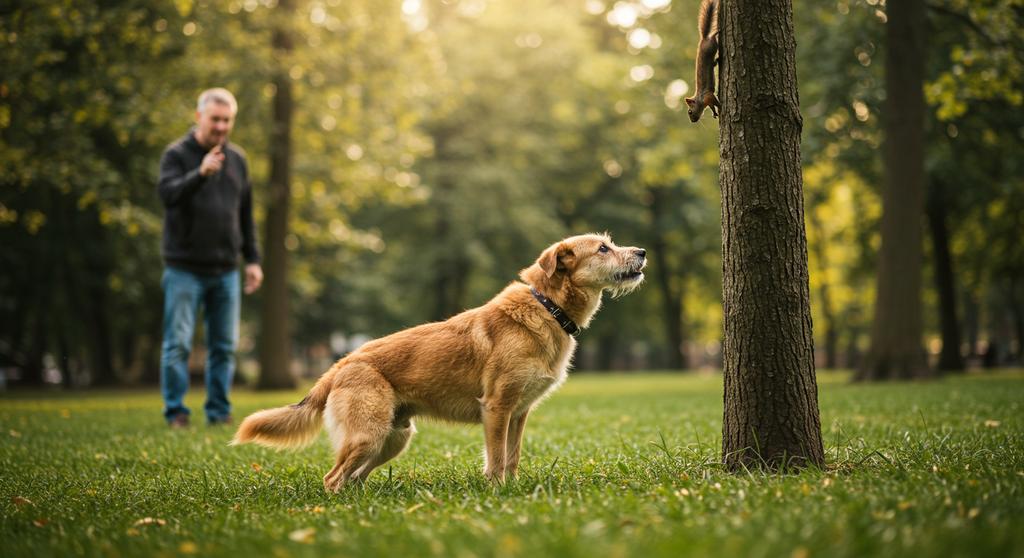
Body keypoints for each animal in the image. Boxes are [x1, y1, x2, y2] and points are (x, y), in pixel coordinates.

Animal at [235, 232, 643, 489]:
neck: (547, 307)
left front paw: (513, 489)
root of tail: (342, 364)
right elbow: (496, 458)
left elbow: (512, 457)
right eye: (603, 248)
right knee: (332, 479)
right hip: (368, 436)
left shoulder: (519, 413)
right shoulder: (496, 408)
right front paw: (499, 493)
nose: (641, 252)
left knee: (353, 478)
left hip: (392, 439)